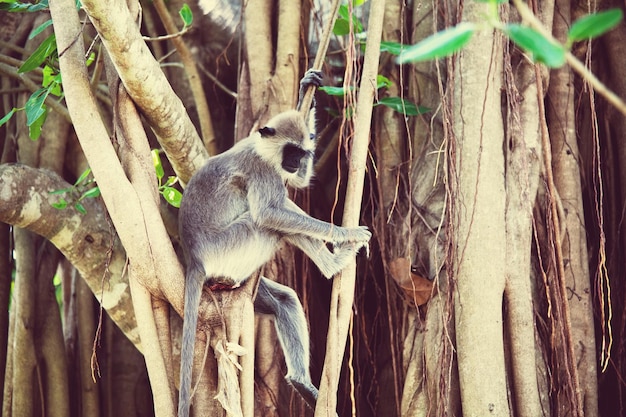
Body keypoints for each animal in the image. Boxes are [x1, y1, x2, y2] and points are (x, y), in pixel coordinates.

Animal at [176, 70, 370, 414]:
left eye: (301, 154)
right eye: (290, 151)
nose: (294, 162)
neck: (259, 148)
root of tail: (194, 259)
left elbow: (299, 184)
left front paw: (308, 91)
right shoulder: (263, 171)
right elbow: (269, 213)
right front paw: (345, 234)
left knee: (284, 300)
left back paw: (302, 384)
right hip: (229, 249)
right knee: (268, 225)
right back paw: (334, 265)